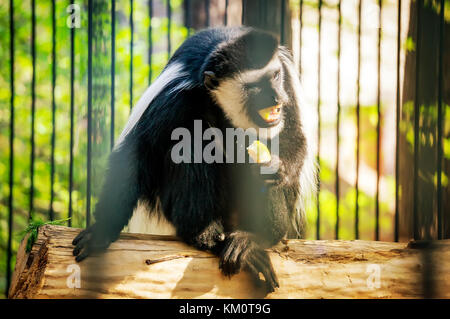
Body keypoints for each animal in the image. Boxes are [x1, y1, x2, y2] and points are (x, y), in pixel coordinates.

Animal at [72, 26, 314, 294]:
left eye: (275, 76)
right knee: (190, 141)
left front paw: (276, 168)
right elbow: (138, 156)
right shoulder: (175, 96)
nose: (277, 98)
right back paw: (205, 235)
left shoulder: (287, 85)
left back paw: (252, 239)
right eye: (254, 87)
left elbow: (293, 135)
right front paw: (103, 229)